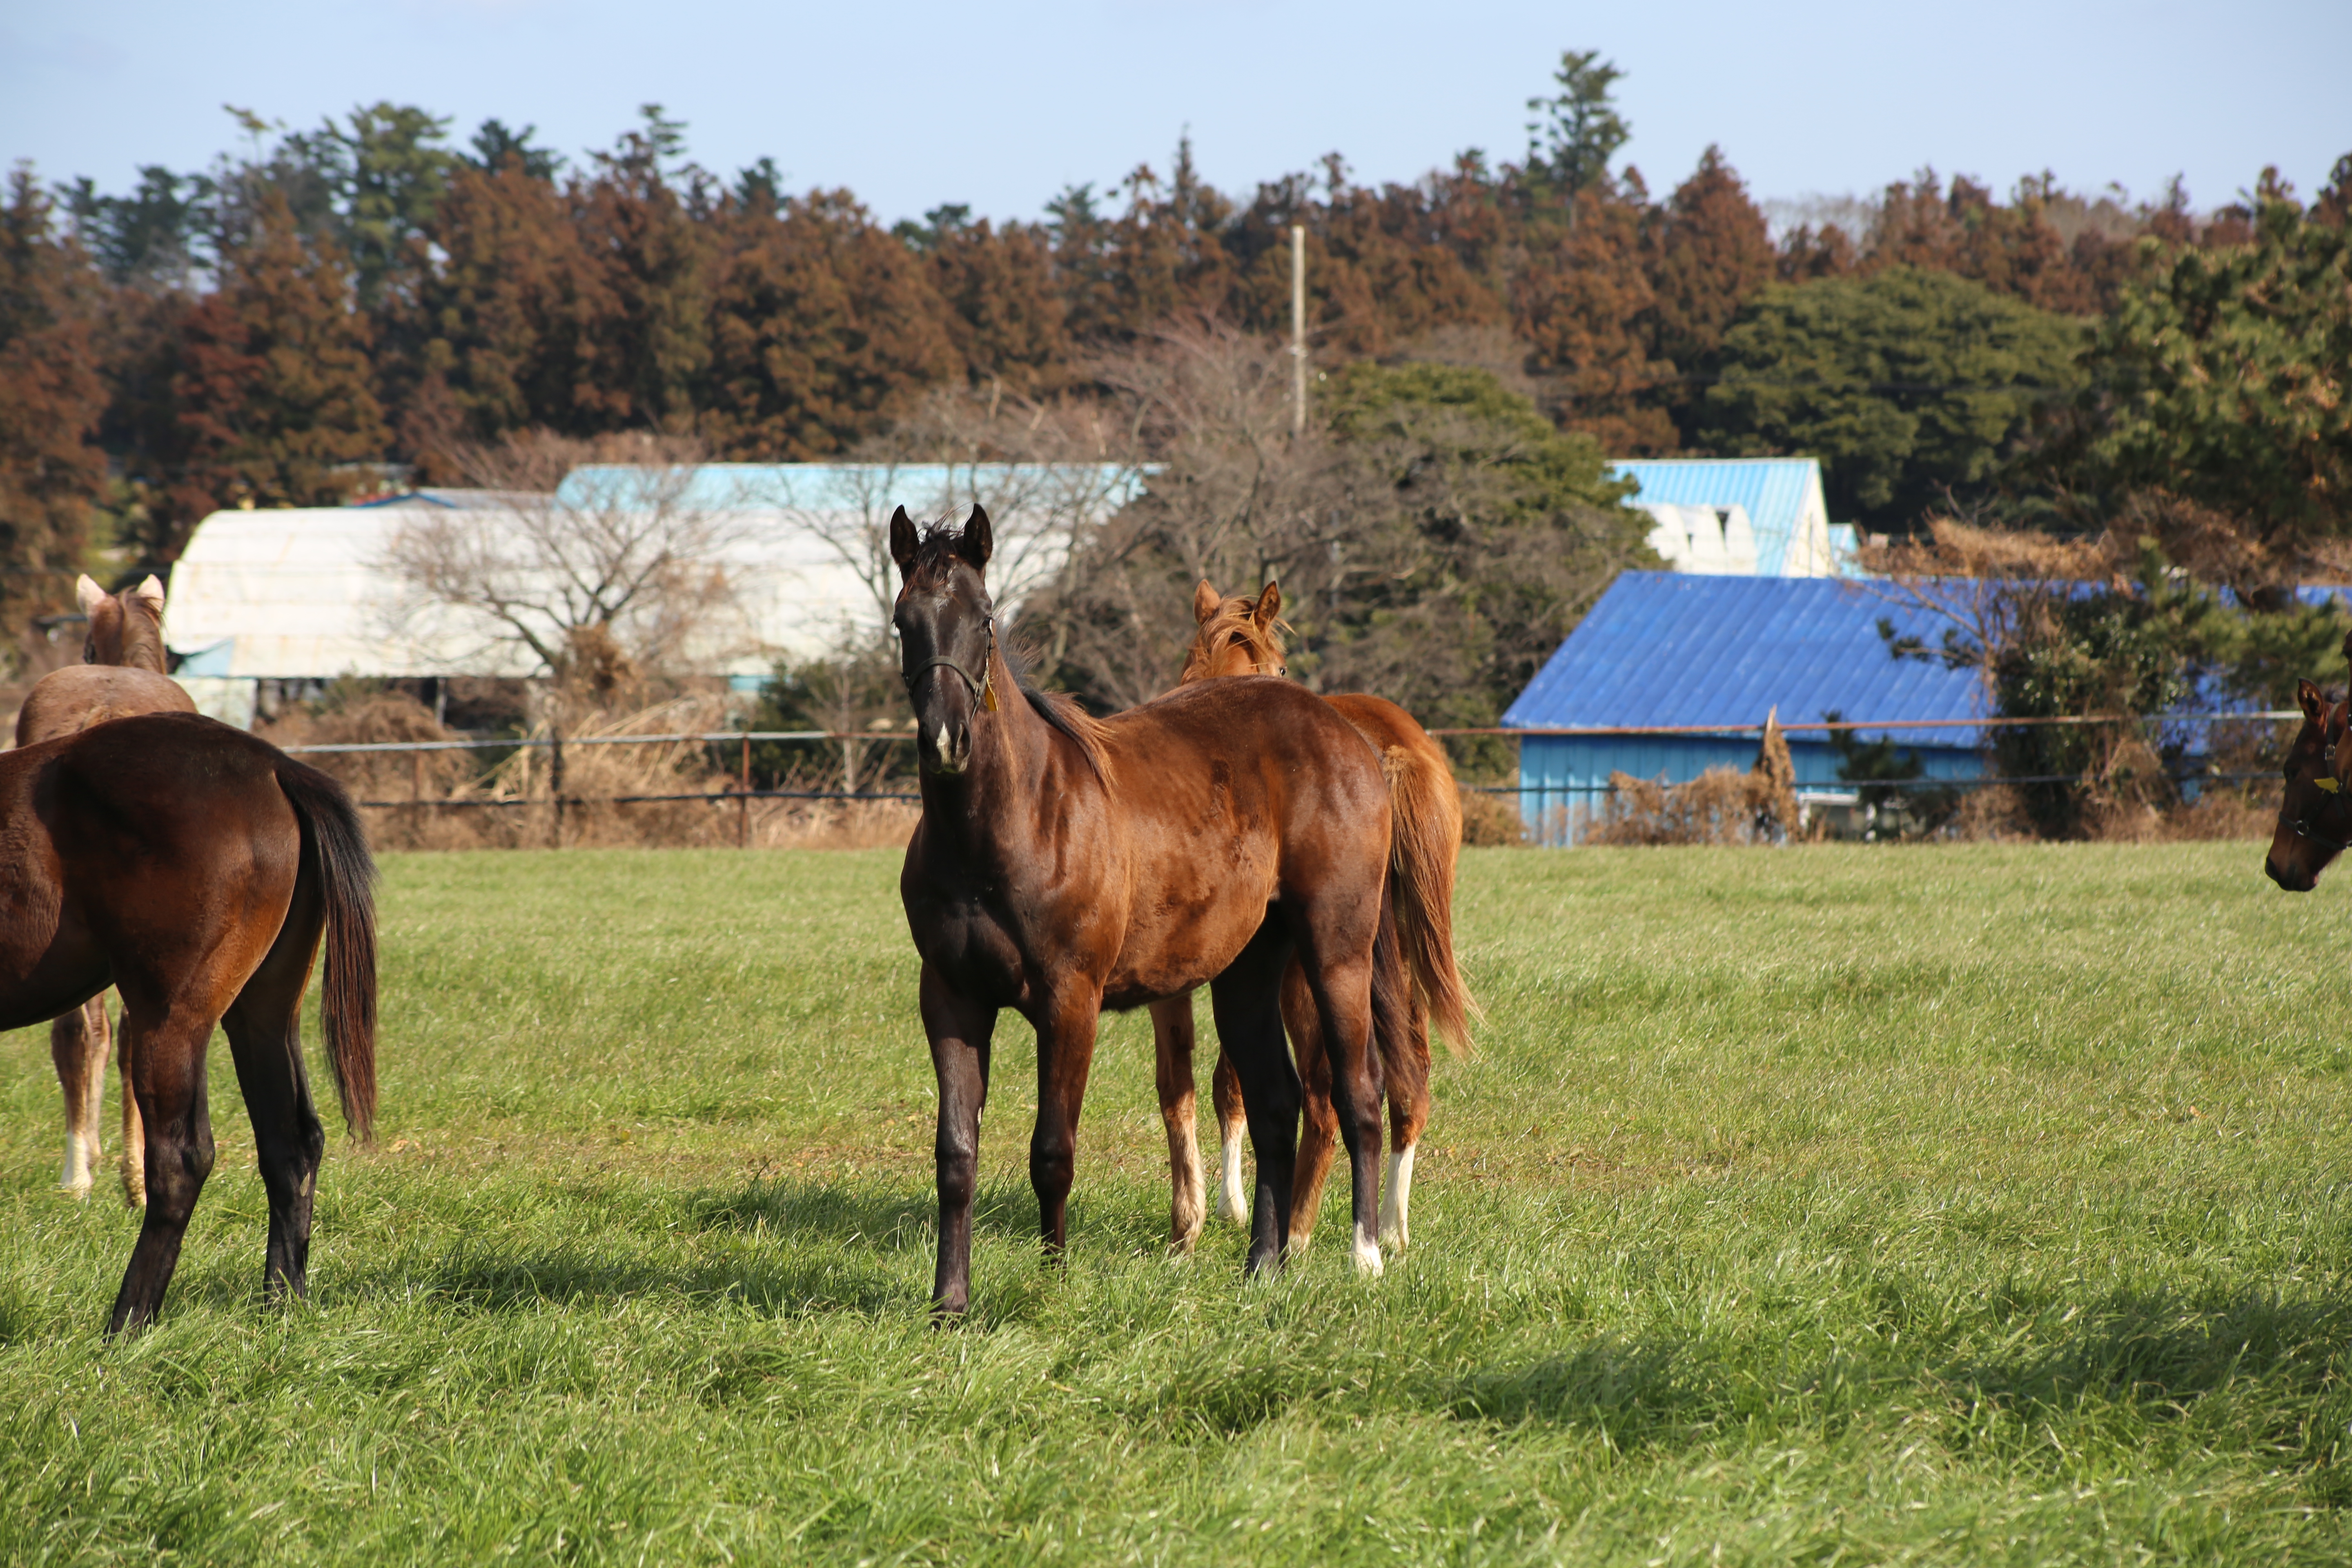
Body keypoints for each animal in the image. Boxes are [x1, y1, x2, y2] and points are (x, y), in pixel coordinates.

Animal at [0, 715, 374, 1335]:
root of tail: (276, 768)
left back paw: (127, 1324)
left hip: (170, 1020)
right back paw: (281, 1306)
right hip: (263, 1015)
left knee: (181, 1160)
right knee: (291, 1145)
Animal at [889, 505, 1383, 1316]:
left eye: (986, 619)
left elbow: (1052, 1151)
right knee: (1275, 1105)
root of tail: (1347, 734)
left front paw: (1052, 1285)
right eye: (904, 622)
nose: (946, 742)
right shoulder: (952, 999)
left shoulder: (1071, 1000)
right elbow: (956, 1155)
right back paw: (1263, 1268)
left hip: (1337, 953)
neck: (1013, 819)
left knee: (1355, 1093)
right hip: (1247, 973)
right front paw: (949, 1305)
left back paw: (1367, 1257)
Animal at [1152, 583, 1477, 1260]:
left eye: (1280, 668)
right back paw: (1390, 1225)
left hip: (1314, 976)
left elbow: (1213, 1085)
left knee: (1327, 1096)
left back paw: (1298, 1233)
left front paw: (1220, 1210)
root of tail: (1390, 745)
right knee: (1411, 1078)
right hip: (1392, 959)